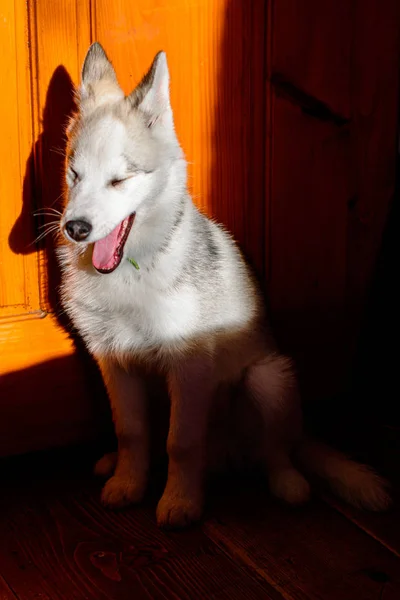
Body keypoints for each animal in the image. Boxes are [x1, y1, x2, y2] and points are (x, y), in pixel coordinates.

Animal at [57, 42, 390, 528]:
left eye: (120, 180)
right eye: (74, 174)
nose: (75, 229)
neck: (134, 270)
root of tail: (229, 457)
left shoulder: (189, 365)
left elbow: (181, 443)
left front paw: (180, 502)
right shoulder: (115, 363)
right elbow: (131, 432)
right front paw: (128, 482)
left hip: (269, 378)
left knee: (276, 451)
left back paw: (288, 483)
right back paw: (114, 463)